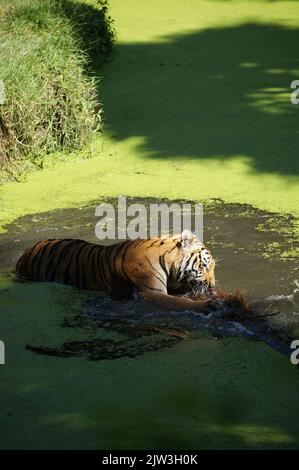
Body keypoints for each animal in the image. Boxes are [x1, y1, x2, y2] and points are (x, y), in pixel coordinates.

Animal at [16, 229, 218, 314]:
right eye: (204, 266)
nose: (213, 286)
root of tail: (25, 252)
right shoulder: (152, 293)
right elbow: (179, 303)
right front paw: (206, 306)